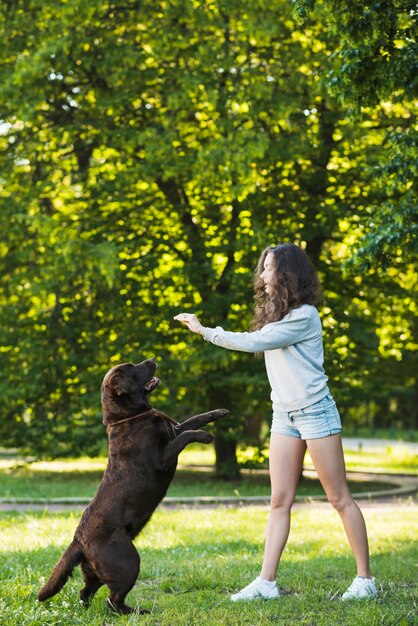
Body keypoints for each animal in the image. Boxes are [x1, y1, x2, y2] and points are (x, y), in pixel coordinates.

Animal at [37, 358, 229, 612]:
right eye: (133, 366)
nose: (152, 359)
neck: (127, 416)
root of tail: (78, 540)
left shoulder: (173, 428)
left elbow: (192, 420)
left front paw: (219, 412)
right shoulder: (162, 456)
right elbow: (186, 434)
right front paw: (205, 436)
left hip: (96, 572)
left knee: (85, 591)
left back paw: (88, 609)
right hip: (128, 561)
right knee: (113, 600)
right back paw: (136, 612)